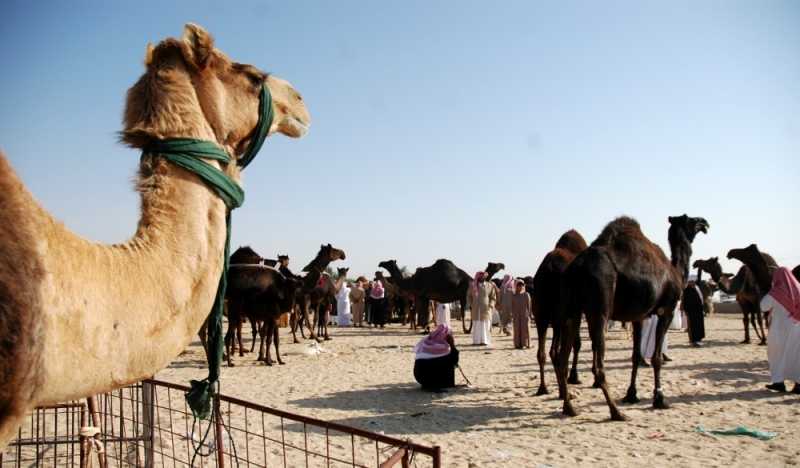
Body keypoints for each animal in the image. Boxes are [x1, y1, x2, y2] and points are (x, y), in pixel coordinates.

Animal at [532, 229, 588, 394]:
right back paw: (564, 391)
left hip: (542, 312)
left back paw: (544, 388)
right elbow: (577, 342)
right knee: (557, 352)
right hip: (561, 312)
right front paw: (574, 377)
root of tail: (548, 270)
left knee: (545, 352)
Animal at [556, 215, 708, 420]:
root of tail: (577, 267)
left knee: (563, 358)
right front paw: (660, 399)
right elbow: (656, 357)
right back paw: (616, 412)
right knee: (598, 366)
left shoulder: (639, 316)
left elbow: (636, 355)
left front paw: (632, 394)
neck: (674, 272)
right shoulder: (667, 310)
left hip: (572, 307)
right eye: (691, 220)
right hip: (600, 307)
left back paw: (570, 408)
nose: (705, 223)